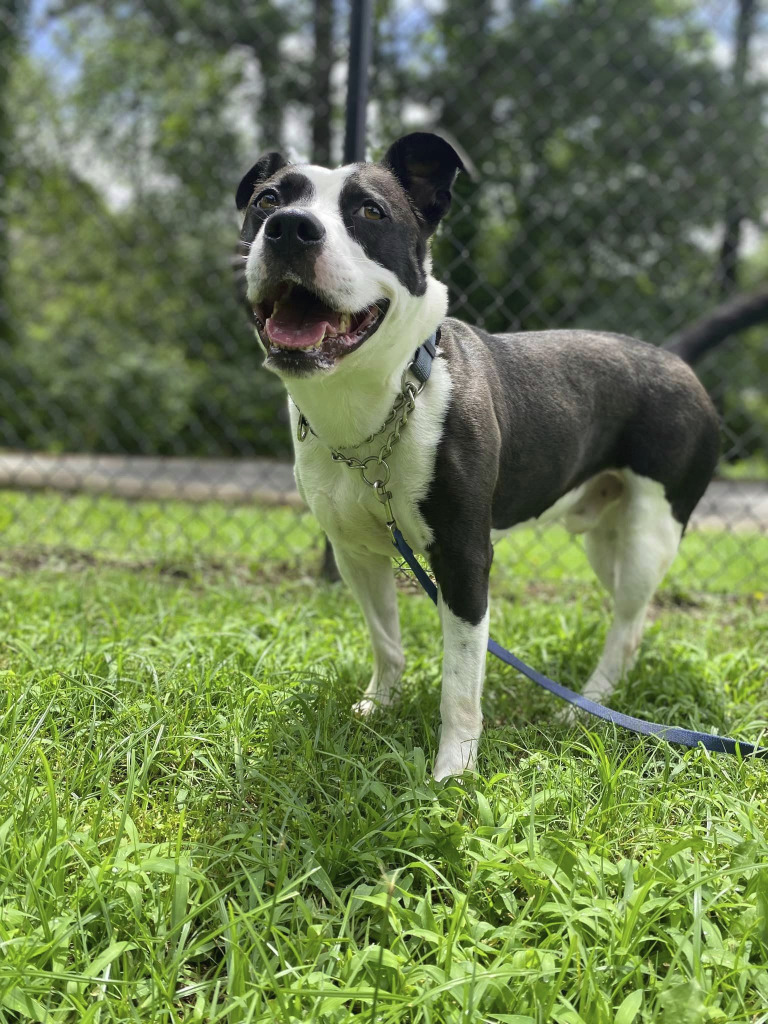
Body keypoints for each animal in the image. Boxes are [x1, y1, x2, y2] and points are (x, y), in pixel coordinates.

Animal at [234, 132, 720, 778]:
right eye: (267, 200)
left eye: (371, 211)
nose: (289, 228)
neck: (377, 404)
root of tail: (671, 357)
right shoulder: (354, 553)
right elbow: (386, 640)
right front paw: (379, 706)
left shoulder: (464, 560)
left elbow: (460, 683)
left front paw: (453, 772)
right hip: (605, 537)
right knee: (628, 614)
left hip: (651, 532)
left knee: (627, 624)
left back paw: (584, 707)